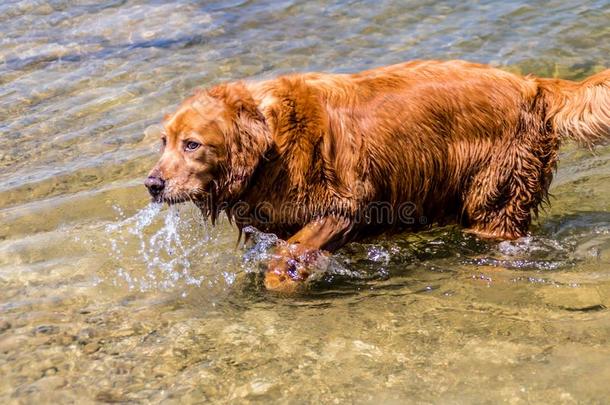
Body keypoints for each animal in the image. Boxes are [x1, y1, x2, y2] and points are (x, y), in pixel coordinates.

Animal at [145, 60, 604, 290]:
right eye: (164, 141)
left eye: (192, 144)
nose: (152, 184)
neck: (275, 143)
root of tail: (532, 85)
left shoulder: (346, 205)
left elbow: (289, 254)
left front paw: (282, 281)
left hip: (495, 190)